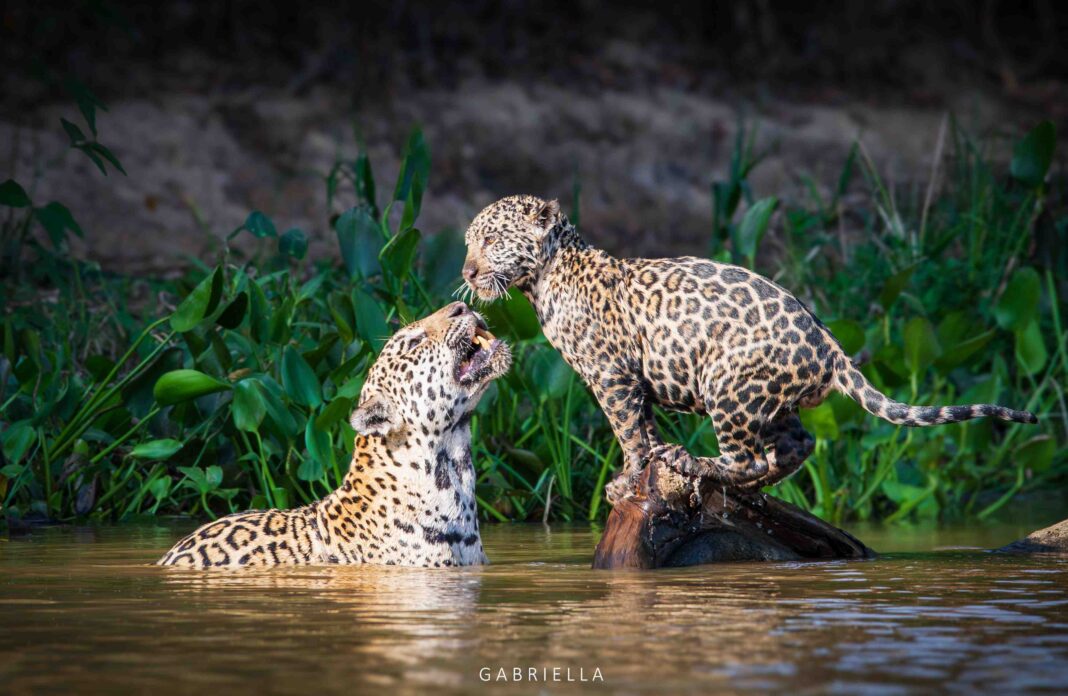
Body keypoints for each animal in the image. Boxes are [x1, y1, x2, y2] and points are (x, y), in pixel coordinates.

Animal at [461, 194, 1038, 505]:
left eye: (489, 240)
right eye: (467, 241)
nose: (465, 271)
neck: (544, 280)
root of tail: (831, 346)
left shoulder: (611, 376)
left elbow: (629, 431)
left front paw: (627, 479)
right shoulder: (629, 379)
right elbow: (644, 425)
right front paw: (642, 469)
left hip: (729, 383)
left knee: (746, 453)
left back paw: (695, 462)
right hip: (769, 399)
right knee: (797, 444)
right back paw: (753, 484)